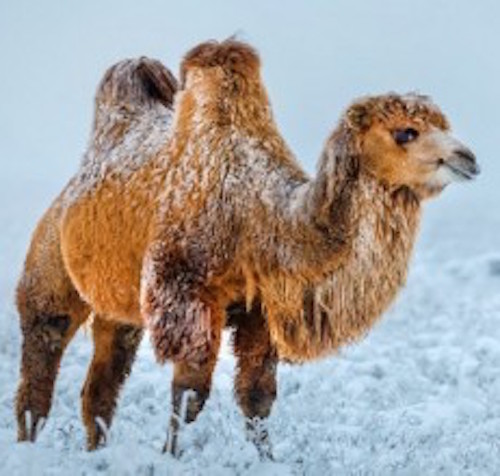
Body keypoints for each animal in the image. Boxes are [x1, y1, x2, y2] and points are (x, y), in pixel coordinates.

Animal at [13, 40, 478, 458]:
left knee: (100, 387)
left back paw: (96, 453)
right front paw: (170, 457)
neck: (258, 217)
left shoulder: (261, 310)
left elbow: (257, 398)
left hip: (118, 309)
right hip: (49, 266)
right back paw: (29, 447)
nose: (468, 158)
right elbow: (189, 395)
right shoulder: (188, 298)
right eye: (405, 133)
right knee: (41, 360)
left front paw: (269, 460)